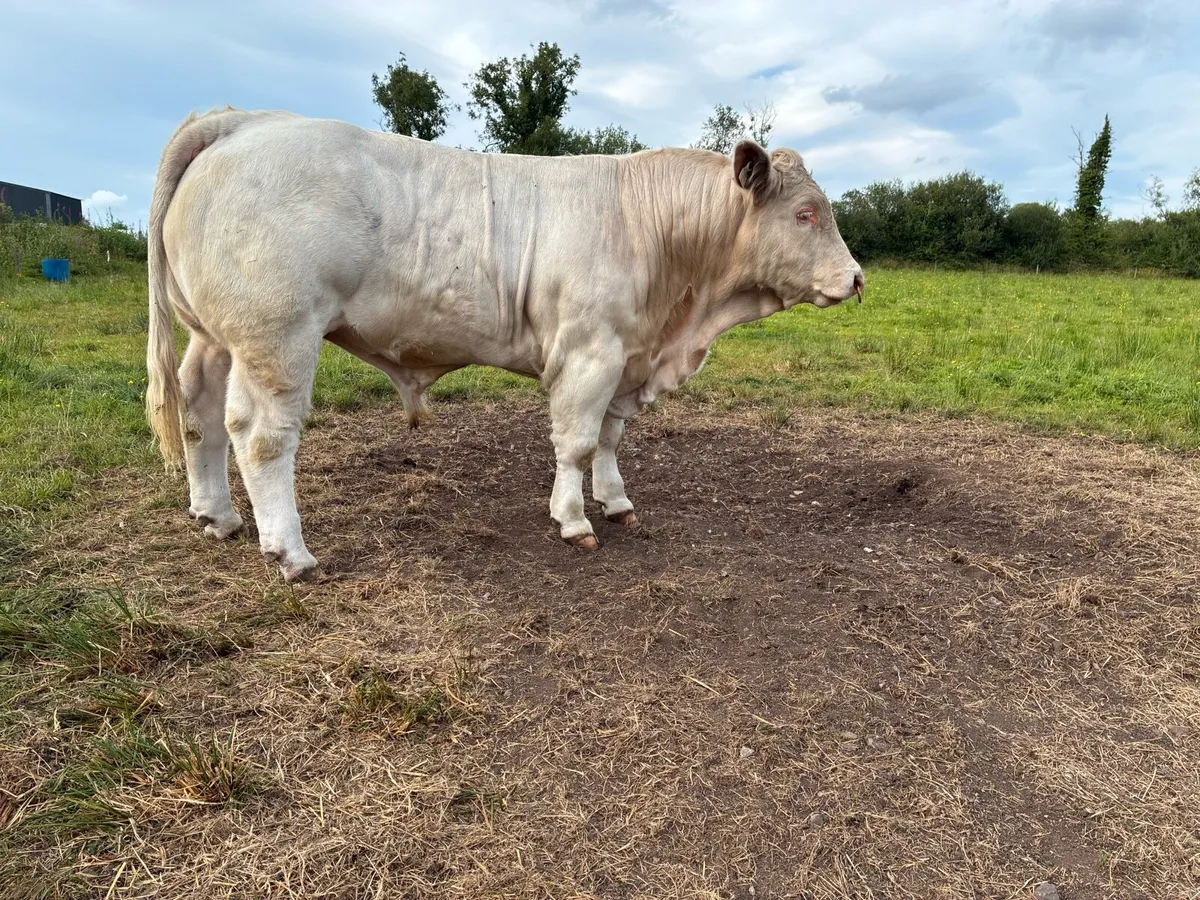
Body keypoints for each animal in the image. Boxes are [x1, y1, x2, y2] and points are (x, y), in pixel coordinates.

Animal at [145, 108, 864, 582]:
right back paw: (290, 553)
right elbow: (577, 442)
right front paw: (574, 520)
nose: (857, 279)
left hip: (213, 335)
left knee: (199, 414)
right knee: (260, 436)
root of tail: (244, 121)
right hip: (278, 335)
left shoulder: (626, 356)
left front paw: (617, 502)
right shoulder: (589, 352)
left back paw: (216, 515)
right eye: (805, 214)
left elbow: (610, 438)